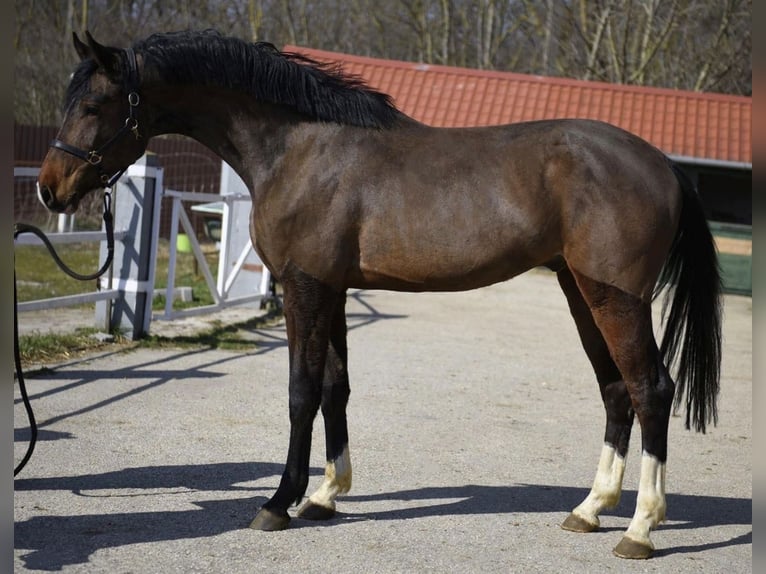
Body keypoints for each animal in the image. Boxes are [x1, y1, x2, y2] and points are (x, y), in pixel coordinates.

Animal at [37, 30, 722, 560]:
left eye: (95, 102)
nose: (49, 188)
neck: (299, 148)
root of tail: (663, 163)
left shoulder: (305, 288)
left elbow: (301, 393)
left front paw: (278, 502)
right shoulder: (333, 290)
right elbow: (335, 389)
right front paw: (323, 496)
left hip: (617, 299)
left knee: (650, 389)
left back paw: (640, 528)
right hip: (581, 292)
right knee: (616, 391)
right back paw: (590, 509)